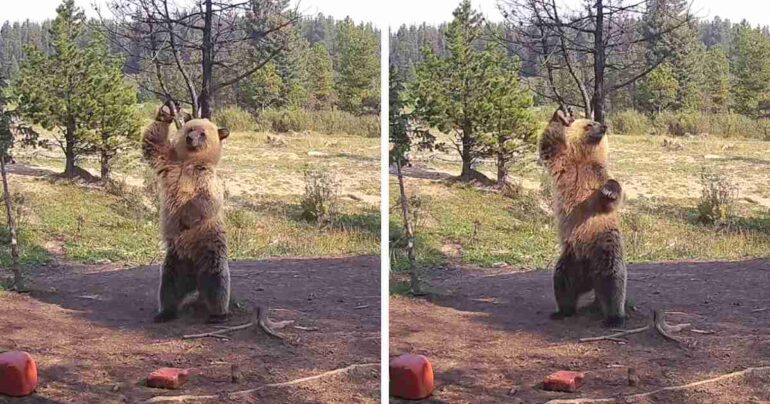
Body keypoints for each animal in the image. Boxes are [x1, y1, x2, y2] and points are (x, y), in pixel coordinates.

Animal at [142, 100, 231, 324]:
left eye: (203, 133)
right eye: (190, 129)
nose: (191, 139)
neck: (190, 162)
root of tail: (195, 280)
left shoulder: (206, 179)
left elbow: (205, 200)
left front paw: (187, 218)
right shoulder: (169, 163)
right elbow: (152, 143)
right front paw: (165, 113)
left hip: (209, 250)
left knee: (217, 282)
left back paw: (218, 314)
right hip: (175, 261)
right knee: (169, 287)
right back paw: (164, 313)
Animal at [539, 109, 627, 328]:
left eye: (597, 122)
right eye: (589, 124)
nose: (604, 126)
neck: (583, 159)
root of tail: (589, 276)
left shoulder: (598, 176)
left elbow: (611, 193)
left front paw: (609, 192)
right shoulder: (563, 164)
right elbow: (548, 145)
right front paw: (561, 116)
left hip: (604, 244)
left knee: (612, 279)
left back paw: (614, 317)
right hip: (571, 258)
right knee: (563, 281)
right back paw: (563, 310)